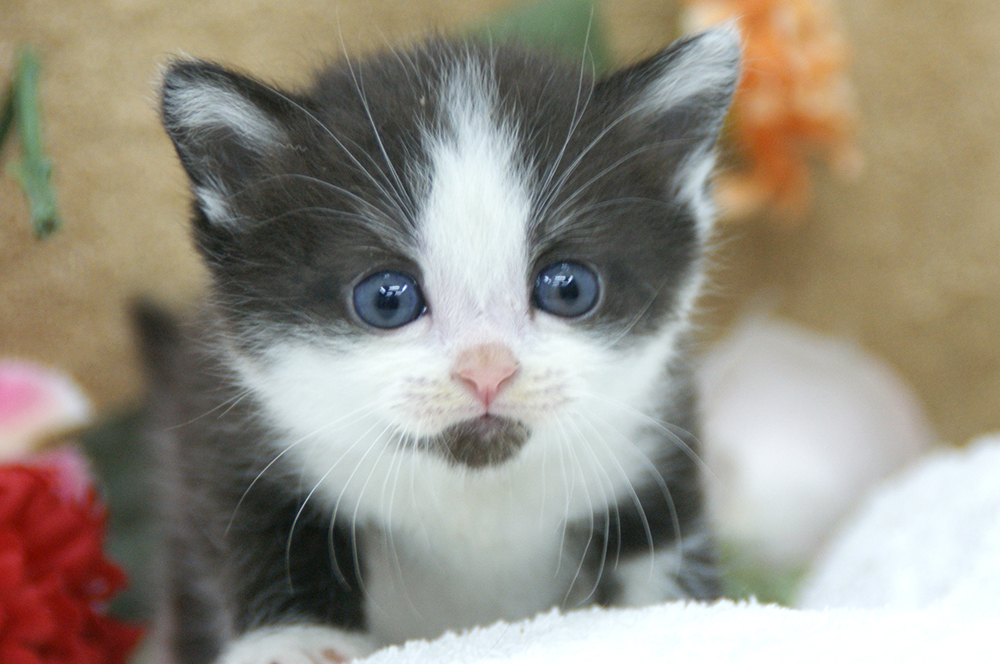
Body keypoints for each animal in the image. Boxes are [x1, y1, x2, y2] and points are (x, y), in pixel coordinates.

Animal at [143, 26, 744, 664]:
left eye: (569, 288)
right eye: (387, 299)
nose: (487, 370)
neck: (472, 494)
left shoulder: (654, 436)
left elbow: (662, 560)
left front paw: (672, 624)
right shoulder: (228, 436)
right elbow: (269, 535)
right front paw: (296, 643)